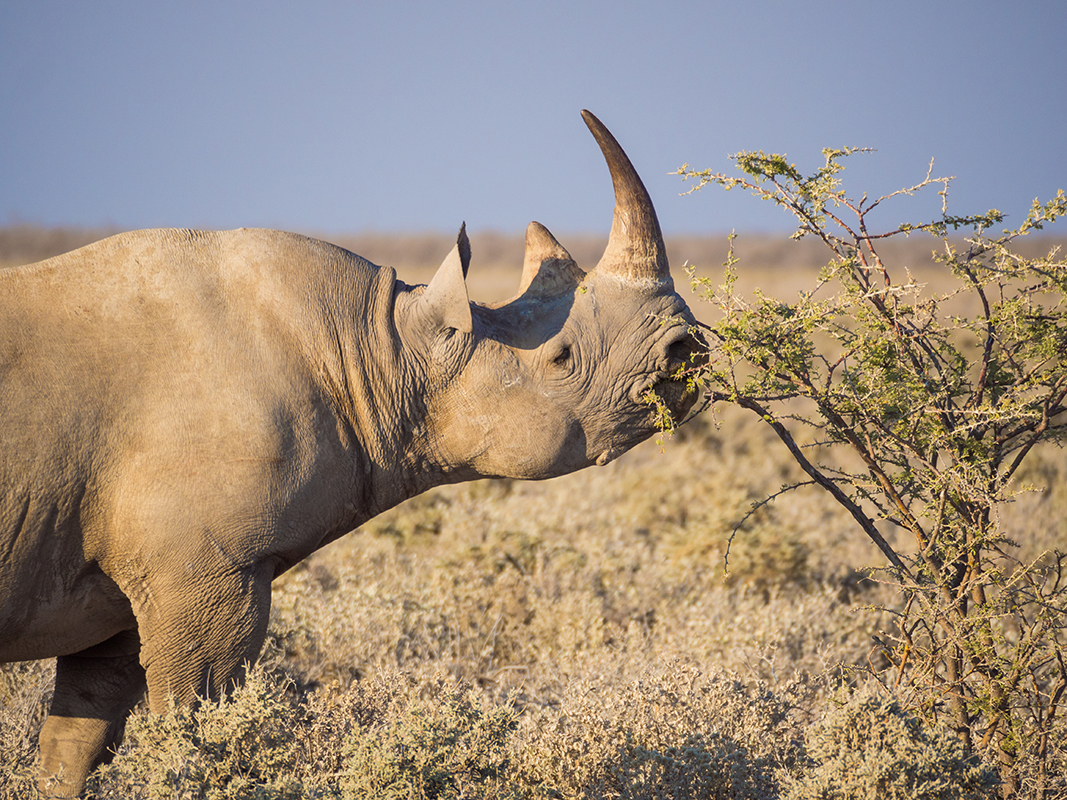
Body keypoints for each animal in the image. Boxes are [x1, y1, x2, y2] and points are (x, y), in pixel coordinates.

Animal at [0, 111, 704, 797]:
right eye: (562, 359)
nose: (686, 350)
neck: (384, 346)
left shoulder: (124, 592)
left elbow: (75, 744)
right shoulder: (204, 573)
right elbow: (193, 729)